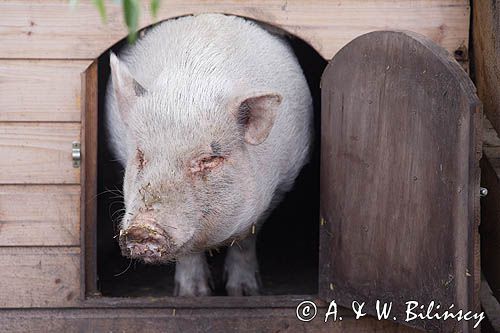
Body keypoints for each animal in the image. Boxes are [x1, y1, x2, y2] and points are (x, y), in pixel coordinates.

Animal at [106, 14, 312, 296]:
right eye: (141, 154)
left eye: (208, 160)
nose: (142, 229)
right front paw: (193, 294)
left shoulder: (282, 184)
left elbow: (246, 238)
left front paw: (244, 292)